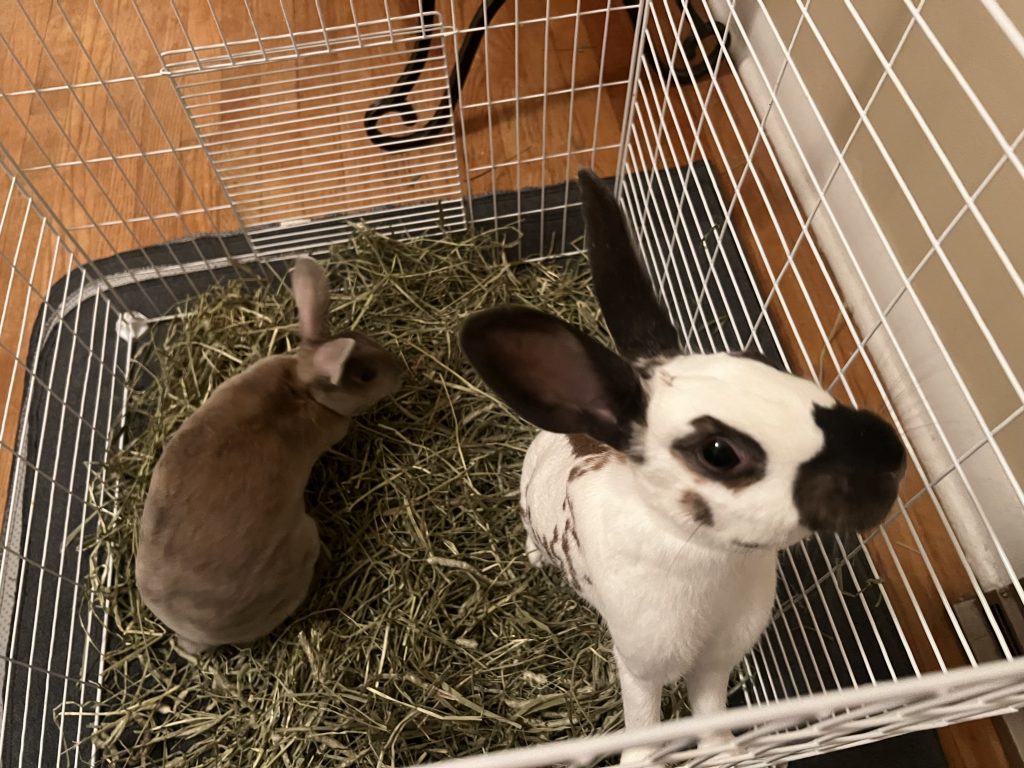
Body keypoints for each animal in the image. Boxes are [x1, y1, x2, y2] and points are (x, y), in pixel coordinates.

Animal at [459, 169, 906, 764]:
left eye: (763, 363)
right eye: (718, 452)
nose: (891, 456)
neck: (708, 558)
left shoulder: (719, 659)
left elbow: (712, 712)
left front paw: (725, 752)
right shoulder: (641, 664)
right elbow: (646, 722)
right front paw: (642, 759)